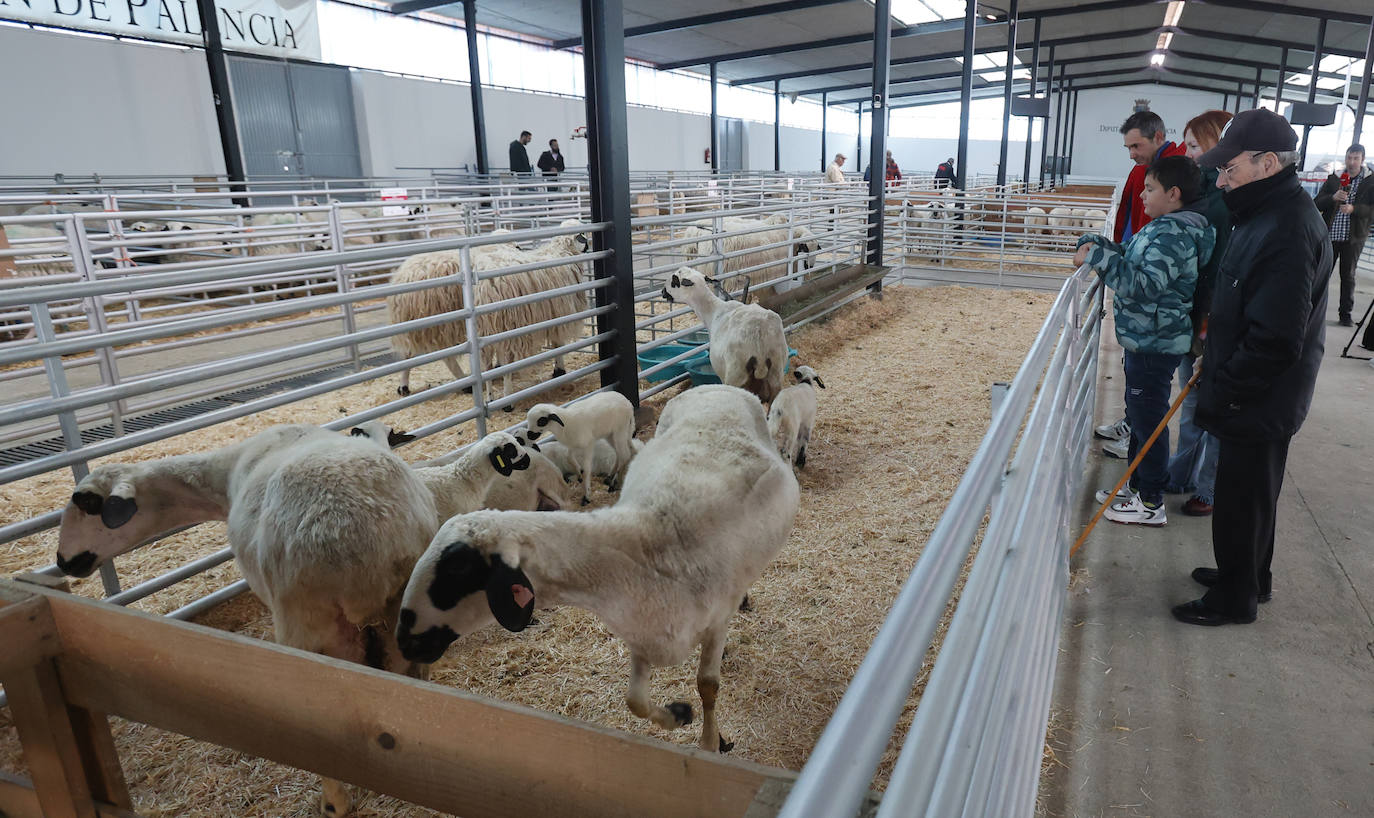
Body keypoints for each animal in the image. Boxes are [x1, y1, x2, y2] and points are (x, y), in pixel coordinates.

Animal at [52, 426, 530, 813]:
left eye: (85, 501)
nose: (63, 561)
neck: (227, 475)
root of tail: (368, 538)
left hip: (308, 626)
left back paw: (335, 803)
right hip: (406, 618)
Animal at [381, 221, 590, 406]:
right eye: (582, 236)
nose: (588, 247)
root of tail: (404, 277)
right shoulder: (558, 312)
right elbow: (557, 344)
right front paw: (559, 370)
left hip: (419, 323)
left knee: (408, 353)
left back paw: (404, 386)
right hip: (448, 322)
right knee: (448, 356)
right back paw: (473, 386)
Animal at [392, 384, 802, 753]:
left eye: (458, 568)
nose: (403, 639)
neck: (645, 542)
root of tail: (715, 386)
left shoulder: (712, 625)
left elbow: (708, 686)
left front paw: (709, 742)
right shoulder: (642, 632)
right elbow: (635, 702)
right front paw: (677, 715)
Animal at [662, 269, 791, 406]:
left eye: (674, 280)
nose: (662, 292)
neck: (713, 311)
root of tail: (757, 333)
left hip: (735, 376)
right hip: (776, 374)